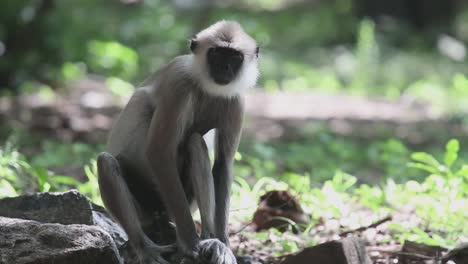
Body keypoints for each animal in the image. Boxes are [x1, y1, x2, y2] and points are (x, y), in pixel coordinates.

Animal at [97, 21, 262, 264]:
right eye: (216, 53)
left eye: (234, 57)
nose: (224, 68)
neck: (206, 86)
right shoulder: (179, 84)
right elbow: (158, 152)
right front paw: (190, 244)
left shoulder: (236, 100)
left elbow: (223, 163)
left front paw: (224, 244)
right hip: (148, 208)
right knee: (106, 162)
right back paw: (145, 248)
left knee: (195, 143)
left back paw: (210, 239)